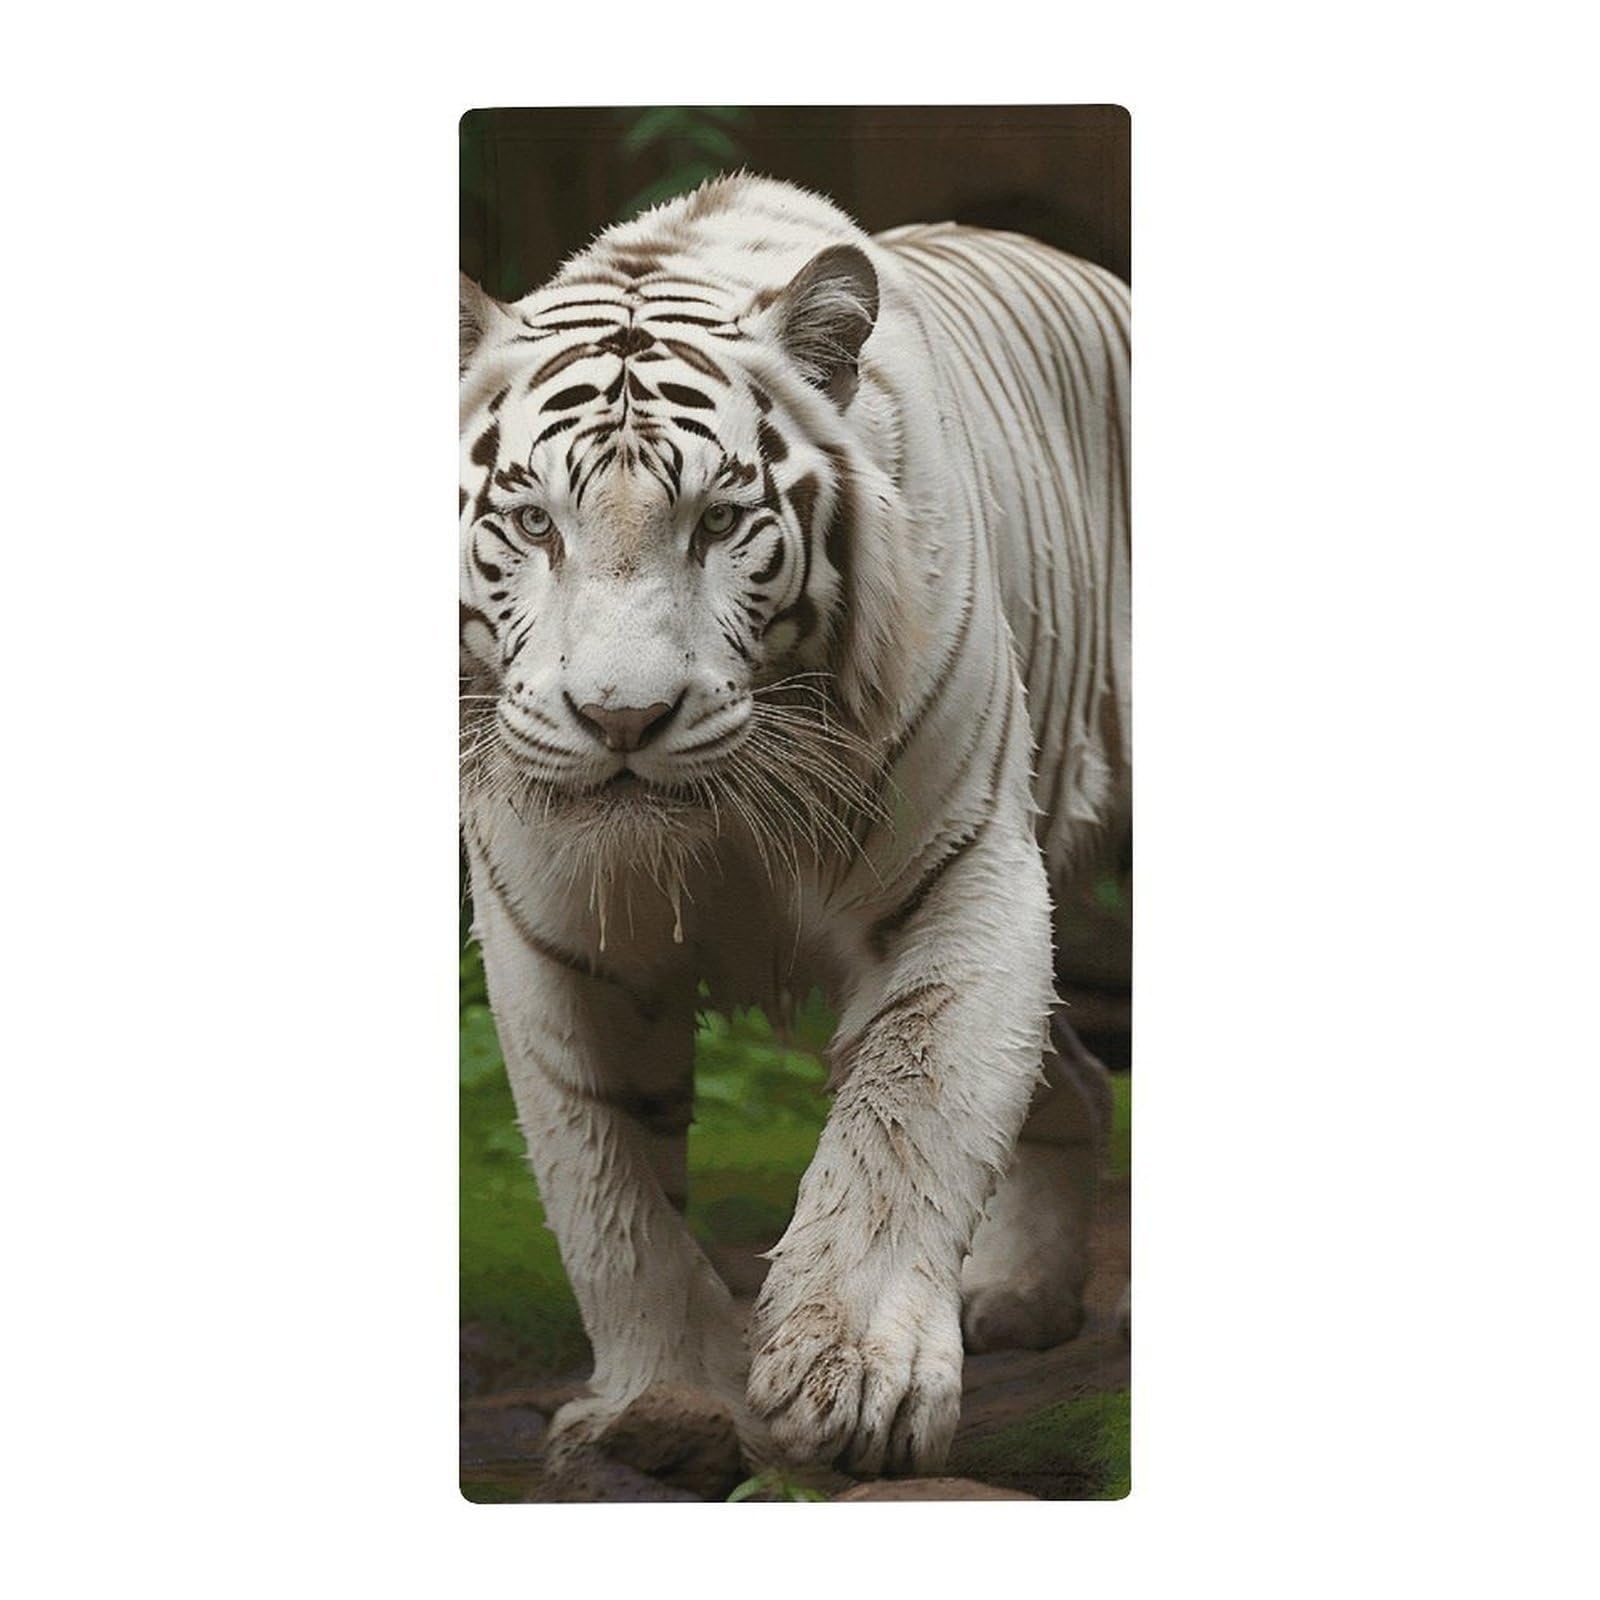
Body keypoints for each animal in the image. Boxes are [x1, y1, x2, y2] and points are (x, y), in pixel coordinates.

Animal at [459, 173, 1129, 1478]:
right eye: (536, 524)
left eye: (718, 522)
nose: (622, 717)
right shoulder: (551, 935)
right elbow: (607, 1189)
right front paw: (661, 1404)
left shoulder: (961, 870)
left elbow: (907, 1113)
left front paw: (854, 1381)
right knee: (1072, 1076)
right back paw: (1017, 1293)